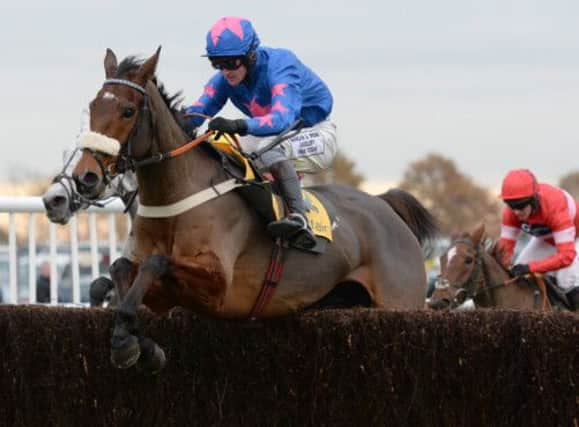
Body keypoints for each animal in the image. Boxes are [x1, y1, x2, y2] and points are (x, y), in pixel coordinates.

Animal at [70, 47, 438, 374]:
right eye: (92, 106)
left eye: (127, 110)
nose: (85, 176)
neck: (176, 196)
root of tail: (386, 207)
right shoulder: (163, 292)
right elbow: (120, 269)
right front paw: (140, 345)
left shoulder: (218, 286)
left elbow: (155, 263)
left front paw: (125, 344)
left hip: (399, 301)